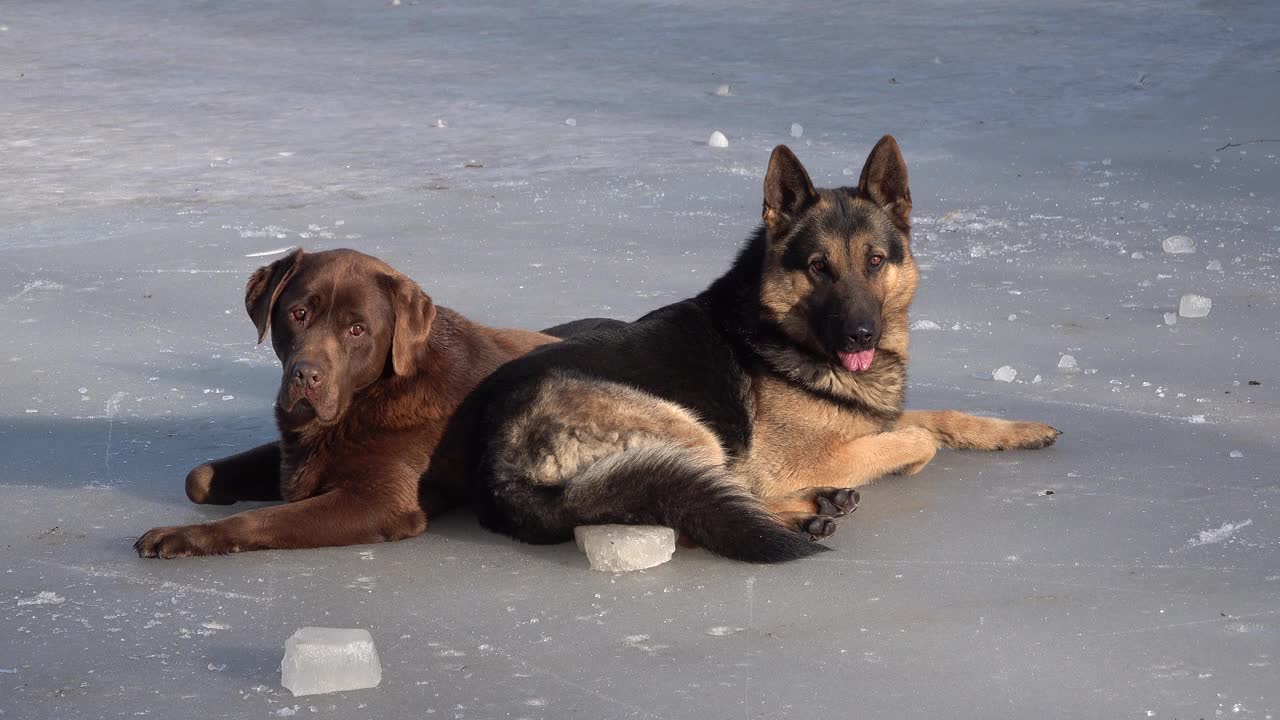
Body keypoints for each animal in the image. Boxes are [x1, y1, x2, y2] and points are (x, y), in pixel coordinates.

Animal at [458, 135, 1059, 561]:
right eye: (818, 267)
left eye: (875, 261)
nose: (860, 335)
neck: (781, 331)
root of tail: (496, 469)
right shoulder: (807, 456)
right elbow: (915, 439)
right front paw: (905, 454)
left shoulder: (866, 414)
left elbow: (939, 418)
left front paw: (1017, 431)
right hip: (687, 427)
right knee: (694, 507)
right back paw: (803, 514)